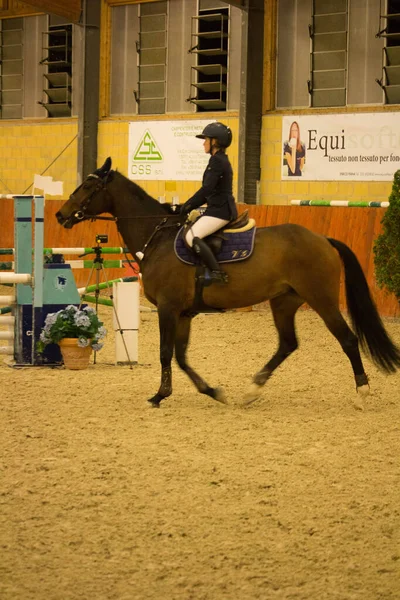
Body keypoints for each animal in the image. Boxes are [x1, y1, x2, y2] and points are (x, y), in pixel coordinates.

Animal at [55, 157, 400, 410]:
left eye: (89, 185)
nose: (60, 215)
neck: (159, 237)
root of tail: (323, 239)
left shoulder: (168, 308)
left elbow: (166, 353)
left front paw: (159, 395)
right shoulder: (184, 313)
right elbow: (180, 356)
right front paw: (212, 391)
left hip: (321, 298)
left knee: (347, 339)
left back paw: (362, 391)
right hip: (284, 301)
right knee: (288, 343)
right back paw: (252, 390)